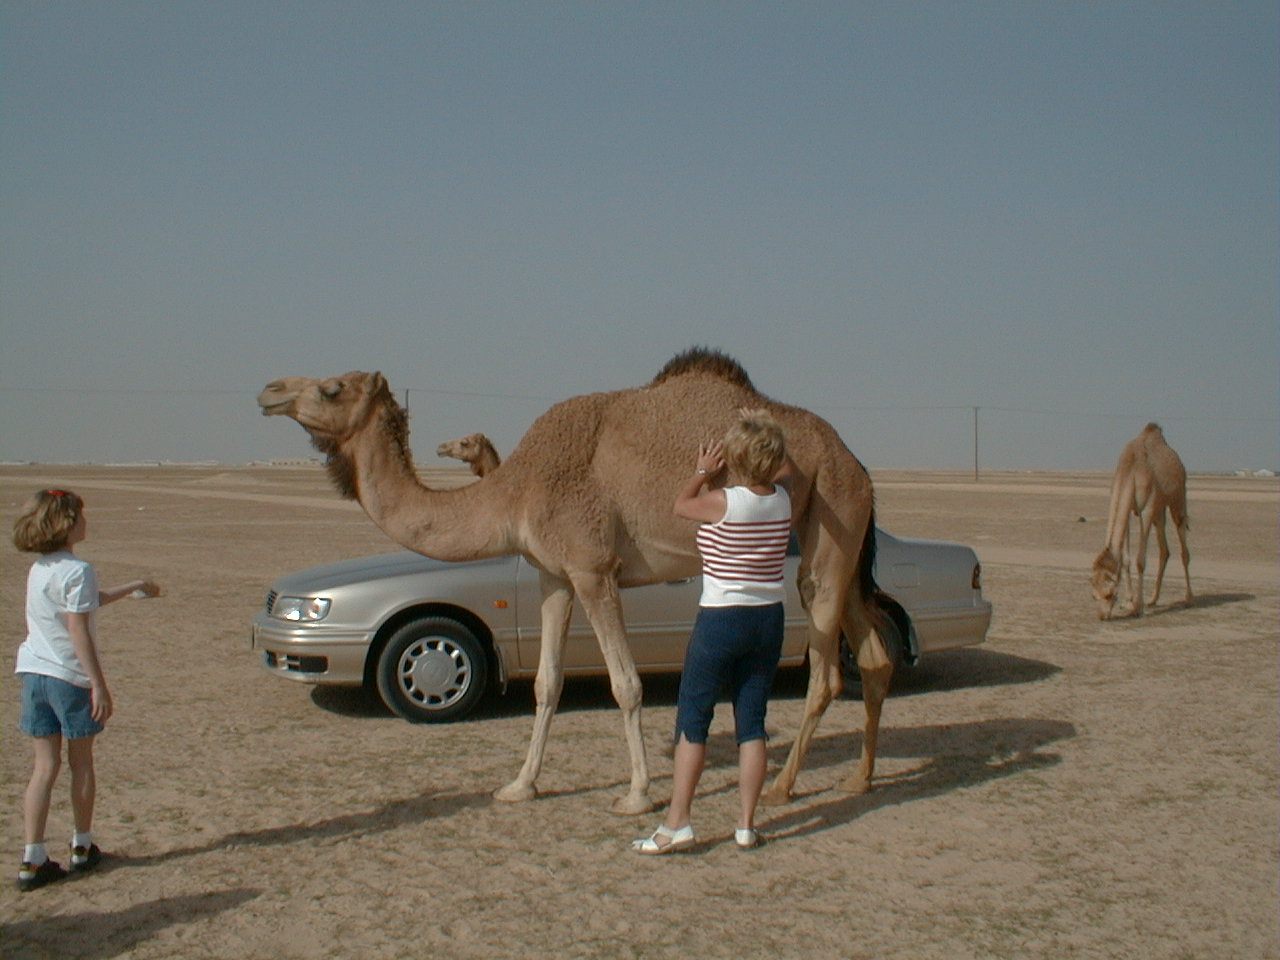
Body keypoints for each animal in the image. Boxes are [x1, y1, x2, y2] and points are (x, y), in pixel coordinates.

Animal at [257, 348, 893, 815]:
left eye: (331, 388)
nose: (269, 390)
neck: (516, 491)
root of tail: (857, 462)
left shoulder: (593, 568)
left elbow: (626, 684)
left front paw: (636, 796)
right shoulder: (552, 577)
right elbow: (546, 683)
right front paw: (520, 786)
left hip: (829, 520)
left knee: (826, 674)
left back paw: (784, 787)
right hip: (838, 542)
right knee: (875, 657)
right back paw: (860, 779)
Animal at [1091, 423, 1192, 619]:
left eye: (1109, 594)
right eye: (1093, 595)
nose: (1101, 616)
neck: (1130, 471)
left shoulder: (1147, 510)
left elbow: (1140, 560)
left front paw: (1138, 607)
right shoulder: (1130, 510)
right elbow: (1126, 560)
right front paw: (1130, 602)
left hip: (1177, 498)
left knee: (1183, 544)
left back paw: (1188, 598)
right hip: (1160, 512)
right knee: (1164, 550)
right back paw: (1153, 599)